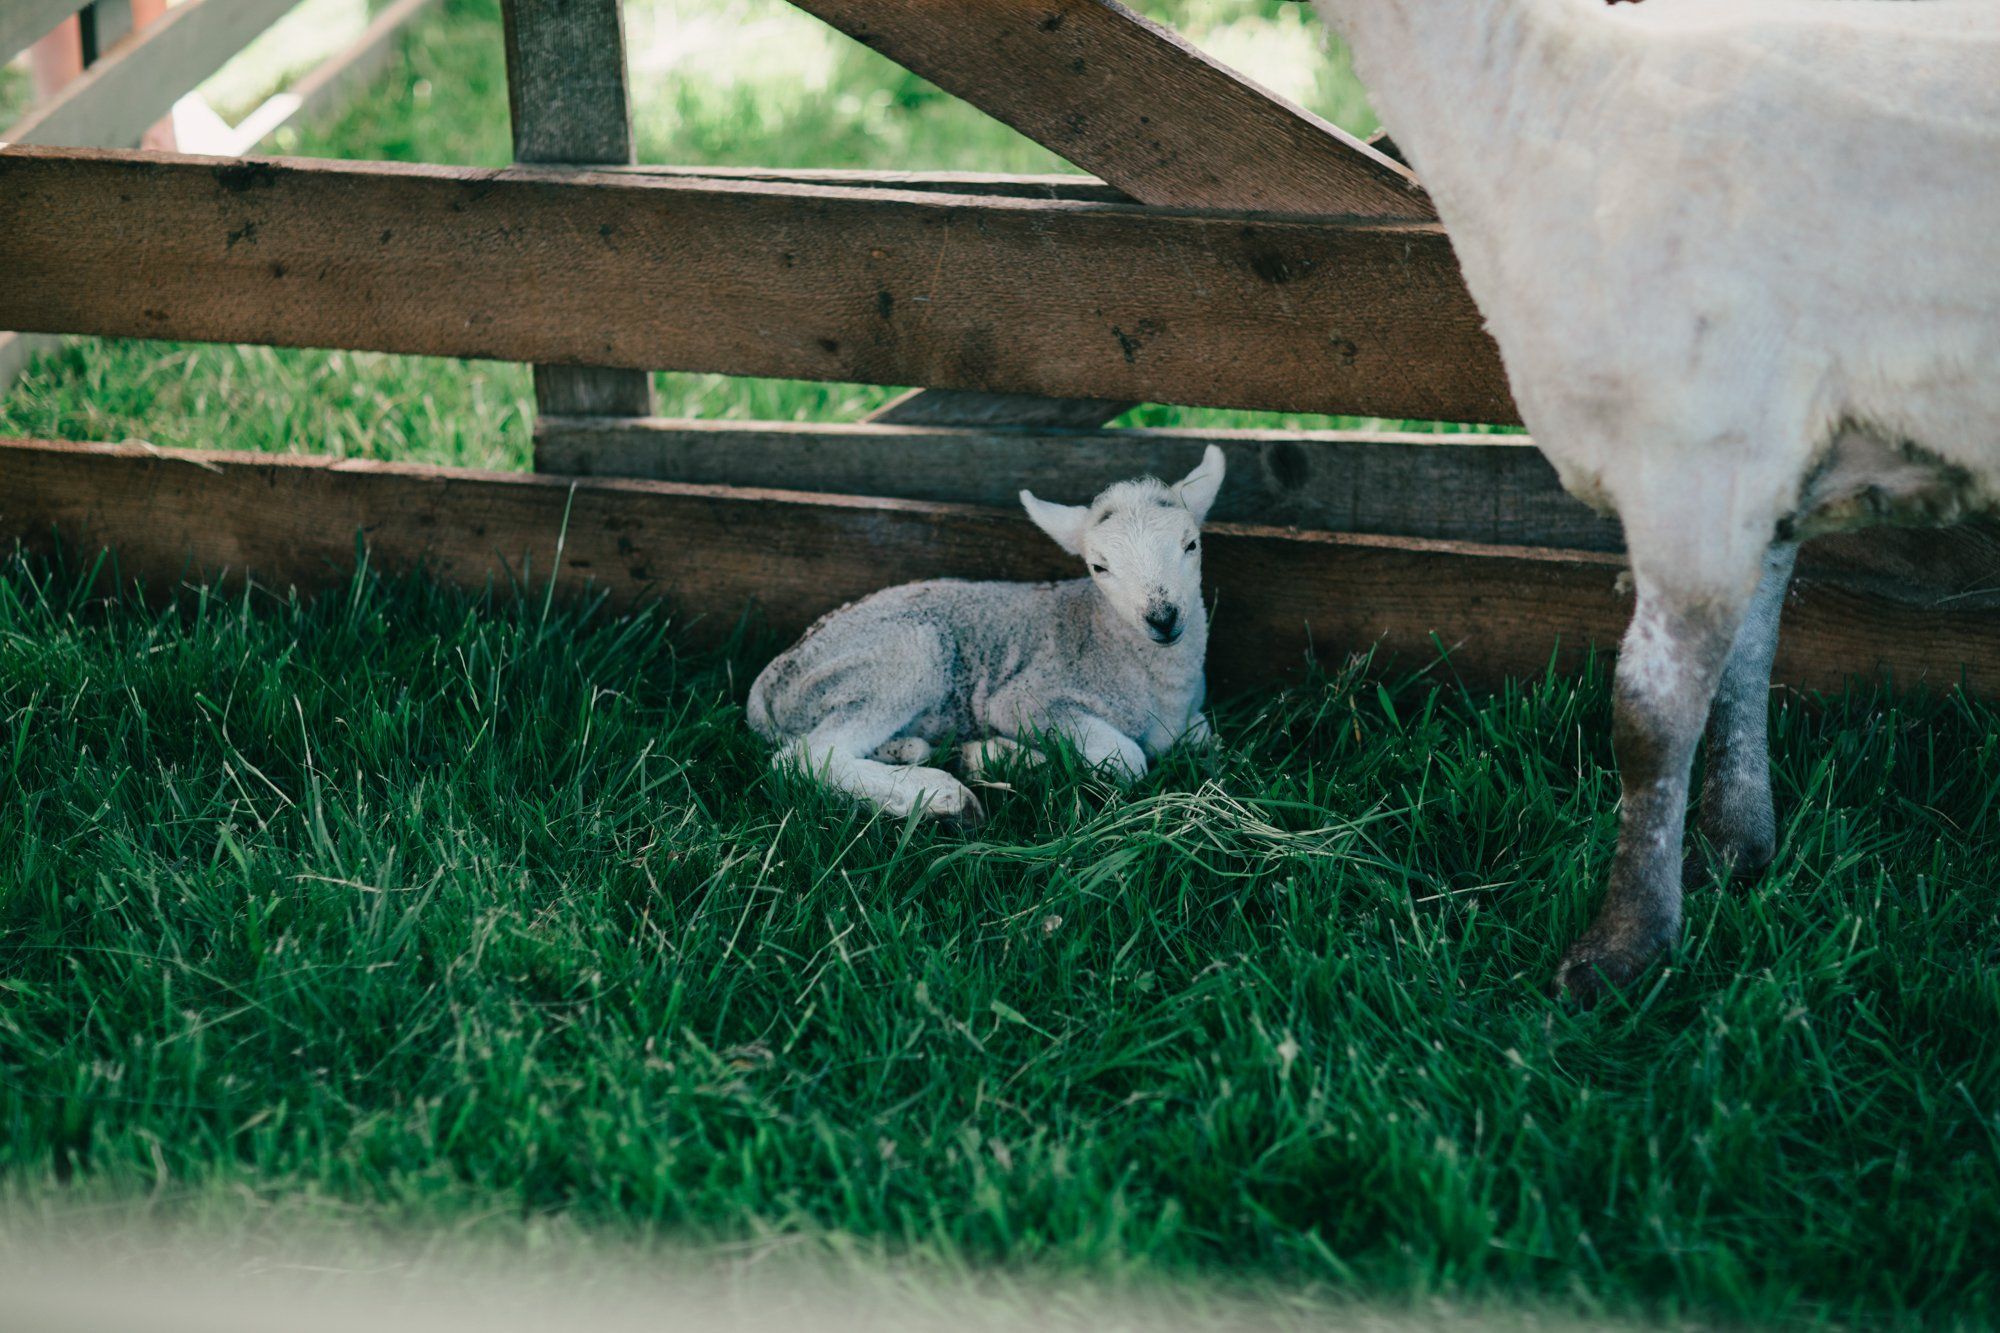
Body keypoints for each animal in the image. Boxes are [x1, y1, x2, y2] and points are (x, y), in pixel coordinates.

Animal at [746, 448, 1225, 825]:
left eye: (1191, 545)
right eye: (1099, 566)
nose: (1162, 617)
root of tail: (765, 689)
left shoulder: (1190, 720)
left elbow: (1203, 737)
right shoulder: (1026, 698)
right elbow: (1129, 761)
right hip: (900, 660)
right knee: (802, 758)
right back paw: (945, 798)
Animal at [1306, 0, 2000, 998]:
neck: (1549, 93)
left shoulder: (1697, 451)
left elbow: (1649, 719)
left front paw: (1623, 946)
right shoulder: (1758, 461)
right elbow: (1746, 660)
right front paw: (1735, 848)